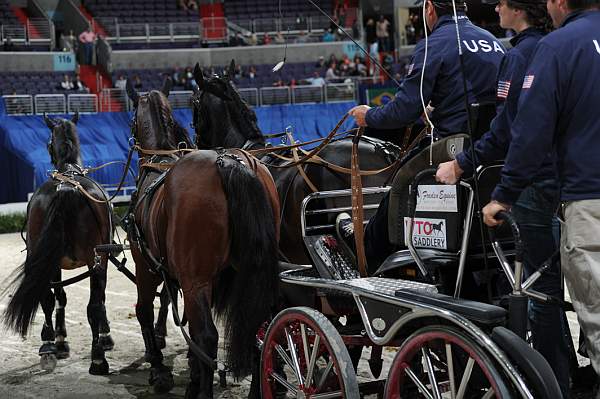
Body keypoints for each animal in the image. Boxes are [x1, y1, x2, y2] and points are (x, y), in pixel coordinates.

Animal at [1, 114, 115, 376]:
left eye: (47, 143)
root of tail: (66, 187)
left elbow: (60, 297)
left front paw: (59, 341)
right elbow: (82, 298)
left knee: (49, 299)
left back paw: (49, 347)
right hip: (92, 259)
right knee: (91, 304)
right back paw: (95, 357)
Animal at [126, 79, 282, 398]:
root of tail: (230, 162)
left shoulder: (147, 268)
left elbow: (145, 312)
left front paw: (159, 369)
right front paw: (192, 375)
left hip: (193, 279)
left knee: (208, 337)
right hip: (250, 274)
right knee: (259, 327)